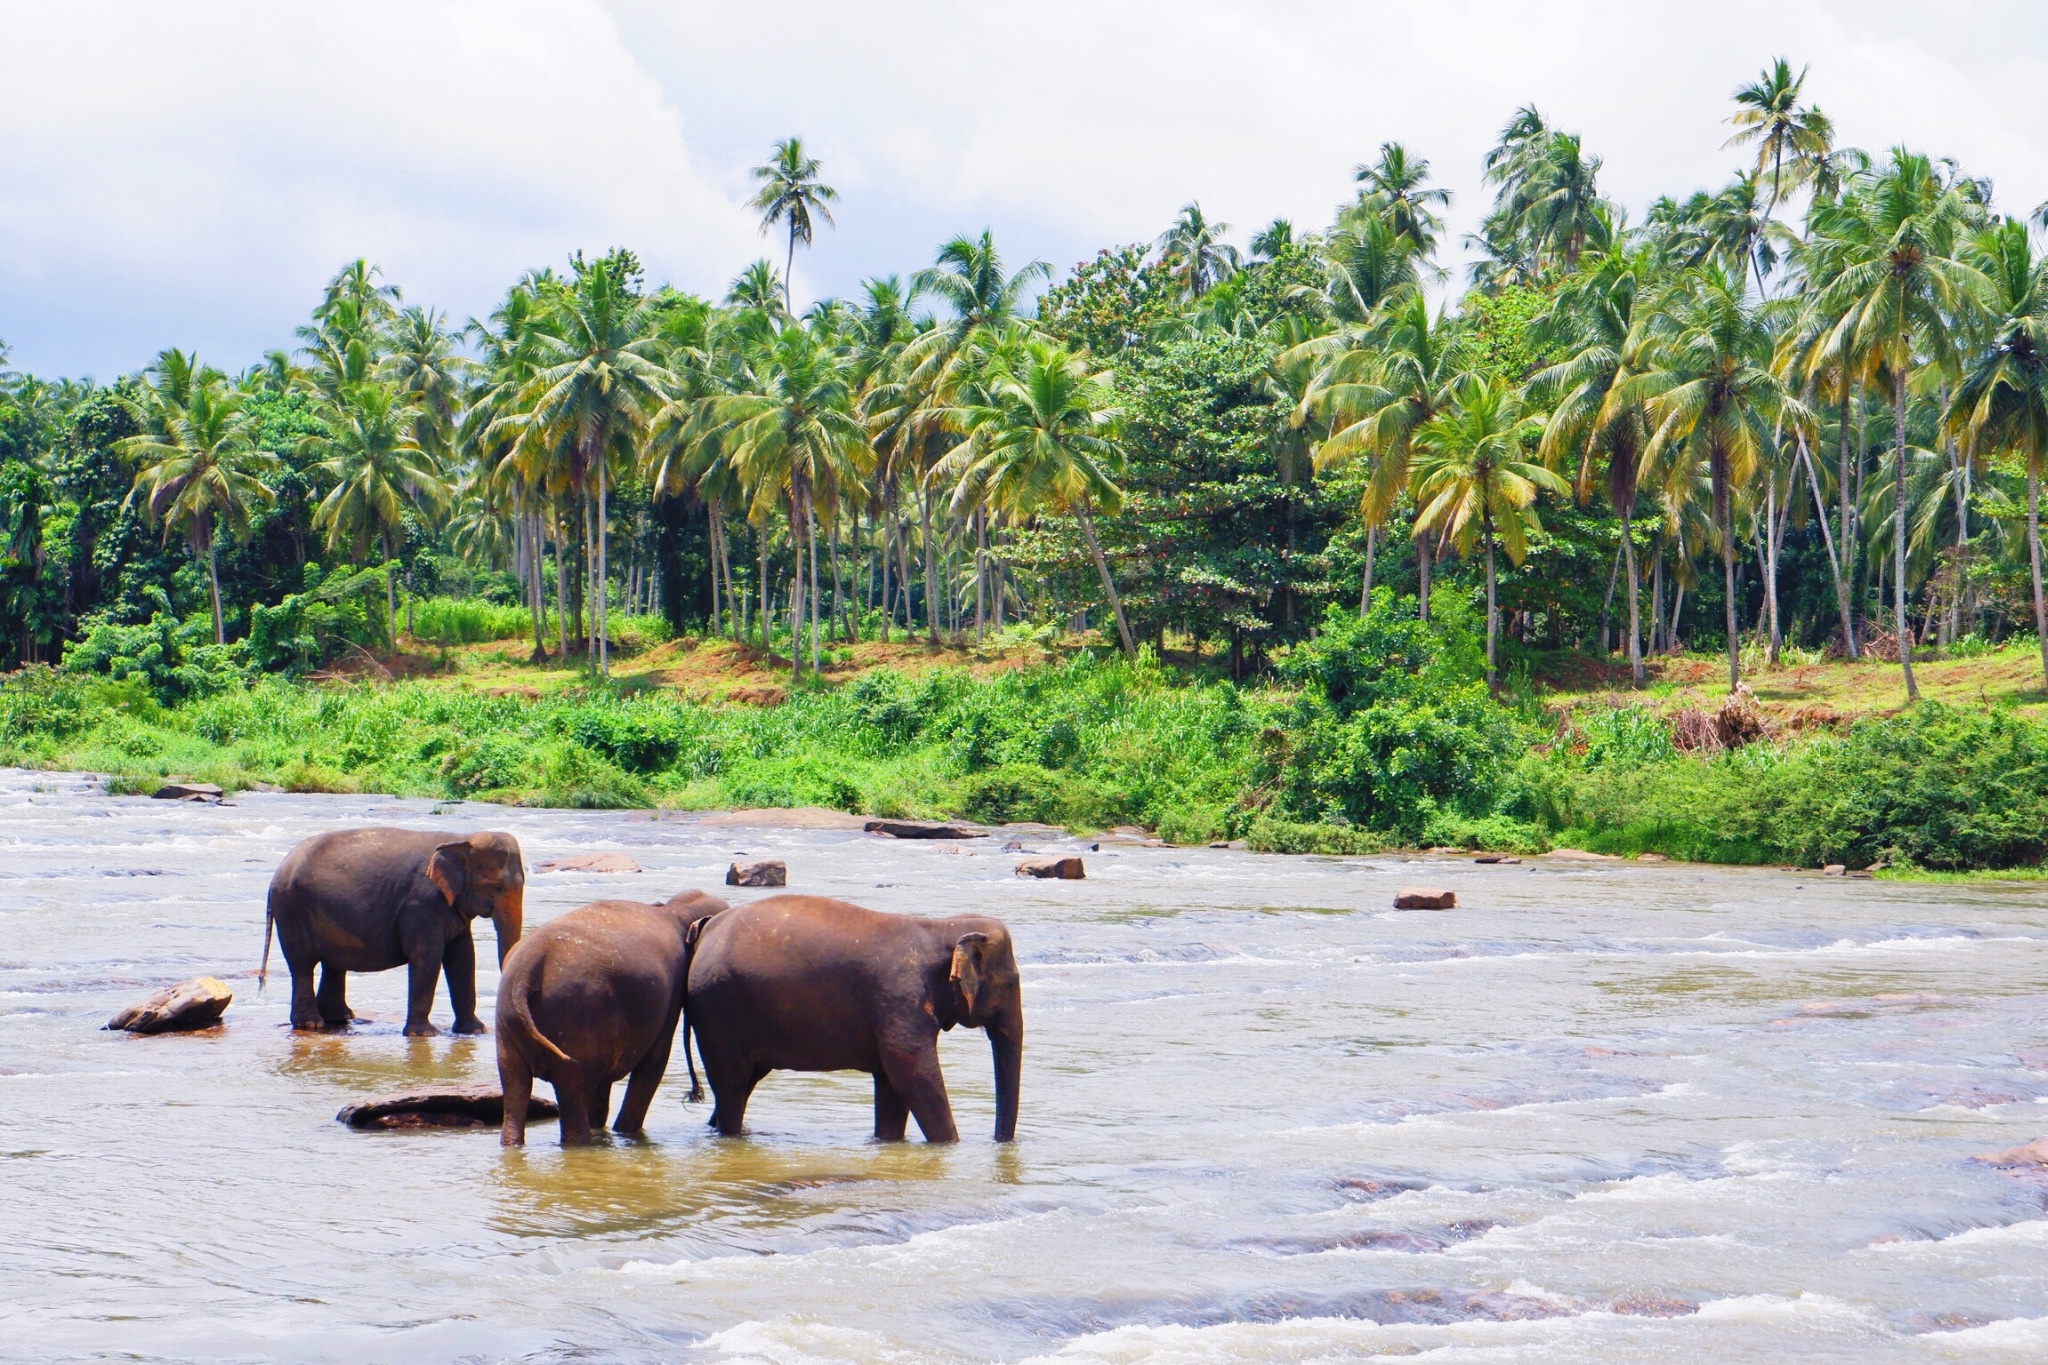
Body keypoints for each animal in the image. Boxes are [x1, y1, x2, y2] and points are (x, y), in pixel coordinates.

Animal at [260, 834, 528, 1035]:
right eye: (498, 887)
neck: (461, 838)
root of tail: (275, 876)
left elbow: (463, 957)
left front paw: (475, 1031)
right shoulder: (421, 902)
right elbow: (427, 956)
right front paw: (424, 1034)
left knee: (332, 964)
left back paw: (338, 1018)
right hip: (293, 911)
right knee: (302, 965)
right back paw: (311, 1024)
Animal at [495, 892, 729, 1146]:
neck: (676, 909)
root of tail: (526, 971)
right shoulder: (672, 993)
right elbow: (654, 1061)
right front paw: (625, 1132)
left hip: (510, 1019)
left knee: (514, 1082)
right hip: (576, 1016)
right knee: (571, 1083)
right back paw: (581, 1144)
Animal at [684, 896, 1019, 1146]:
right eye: (1011, 983)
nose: (999, 1144)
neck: (942, 927)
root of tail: (705, 932)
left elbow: (891, 1083)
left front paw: (888, 1143)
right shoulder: (899, 999)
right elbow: (912, 1073)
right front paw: (951, 1145)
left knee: (742, 1083)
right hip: (719, 1009)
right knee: (731, 1085)